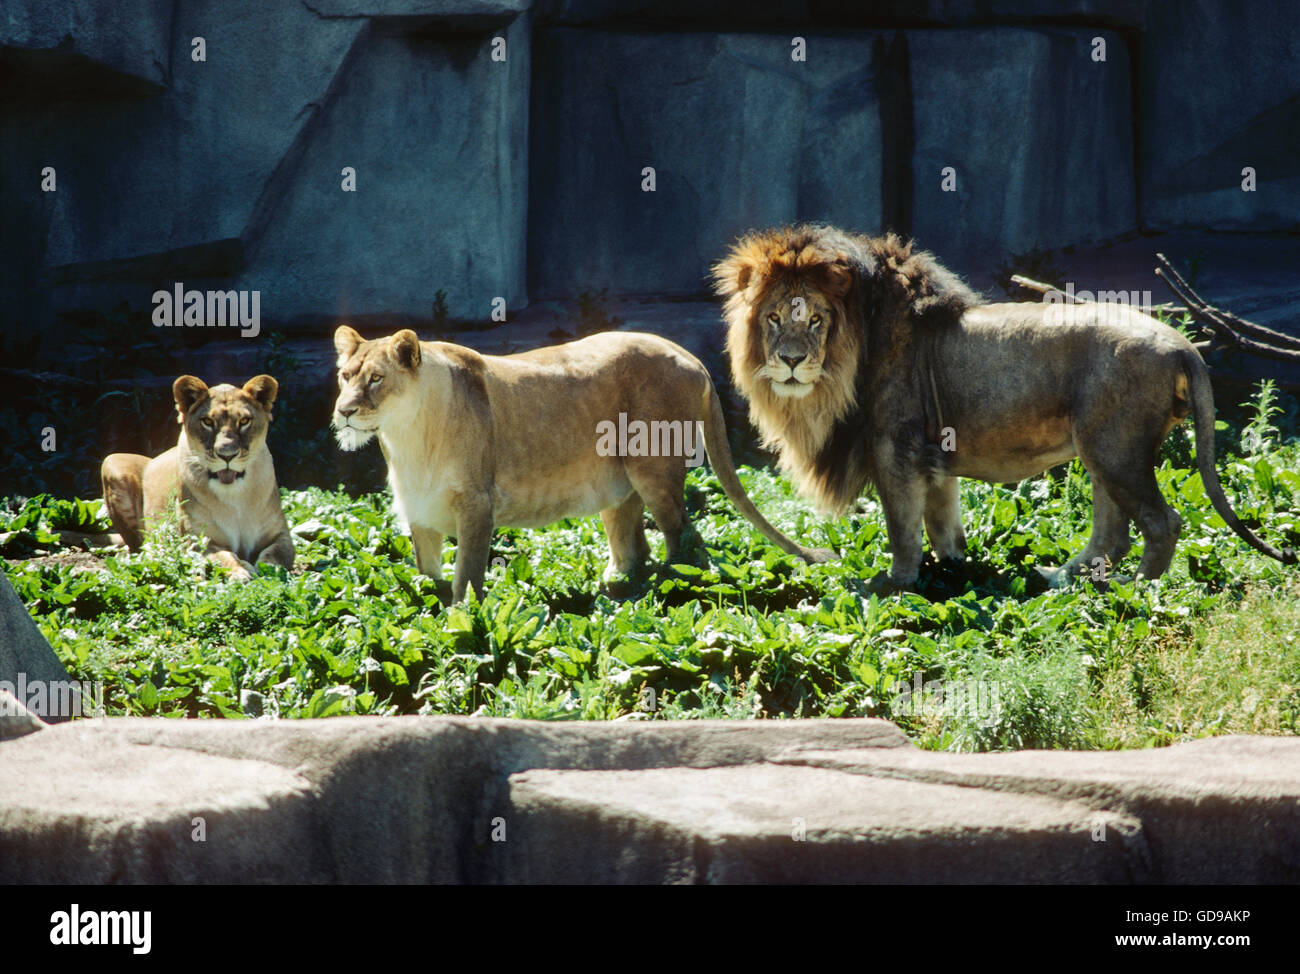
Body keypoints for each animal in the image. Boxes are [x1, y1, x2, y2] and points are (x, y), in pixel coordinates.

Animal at [98, 374, 297, 577]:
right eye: (207, 422)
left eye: (244, 421)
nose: (227, 455)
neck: (234, 497)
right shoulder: (196, 541)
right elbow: (224, 556)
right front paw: (241, 571)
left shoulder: (282, 535)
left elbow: (275, 556)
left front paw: (267, 571)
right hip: (111, 461)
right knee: (138, 546)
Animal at [330, 326, 826, 600]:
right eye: (345, 376)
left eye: (376, 379)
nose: (344, 410)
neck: (407, 436)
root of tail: (689, 355)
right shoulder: (419, 512)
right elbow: (426, 574)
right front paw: (427, 615)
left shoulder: (476, 504)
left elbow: (467, 574)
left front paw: (464, 621)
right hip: (619, 488)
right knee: (634, 548)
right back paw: (617, 591)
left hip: (656, 473)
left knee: (687, 541)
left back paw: (675, 590)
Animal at [717, 224, 1294, 587]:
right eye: (773, 318)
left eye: (815, 319)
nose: (792, 361)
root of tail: (1181, 344)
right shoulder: (931, 457)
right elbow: (941, 523)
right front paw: (953, 571)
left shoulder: (894, 450)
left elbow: (902, 529)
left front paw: (895, 585)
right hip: (1101, 449)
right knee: (1112, 533)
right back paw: (1061, 579)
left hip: (1117, 449)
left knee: (1160, 523)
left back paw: (1135, 592)